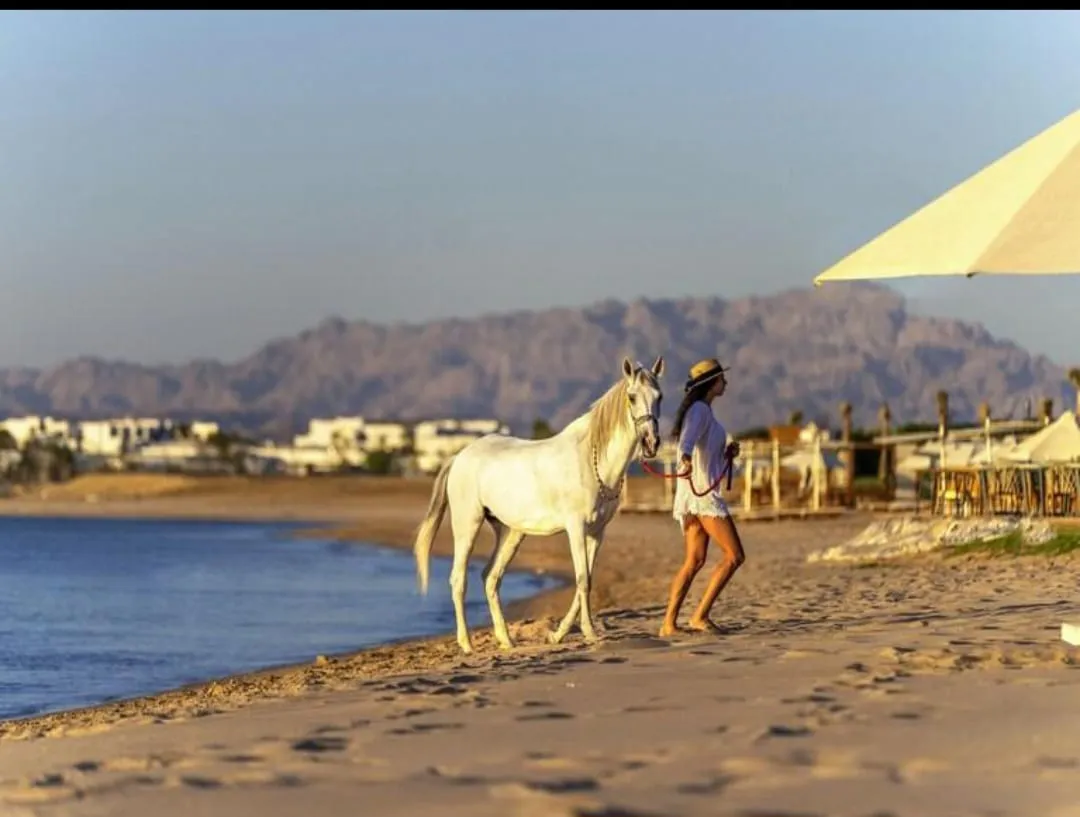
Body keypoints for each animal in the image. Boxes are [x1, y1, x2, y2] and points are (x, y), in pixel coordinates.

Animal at [413, 356, 665, 654]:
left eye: (659, 396)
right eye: (632, 396)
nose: (651, 442)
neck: (590, 460)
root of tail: (459, 456)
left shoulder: (596, 532)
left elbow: (587, 579)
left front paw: (557, 635)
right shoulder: (576, 528)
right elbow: (582, 578)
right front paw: (589, 633)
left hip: (510, 532)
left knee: (490, 576)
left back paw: (506, 640)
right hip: (467, 525)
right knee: (458, 579)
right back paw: (466, 644)